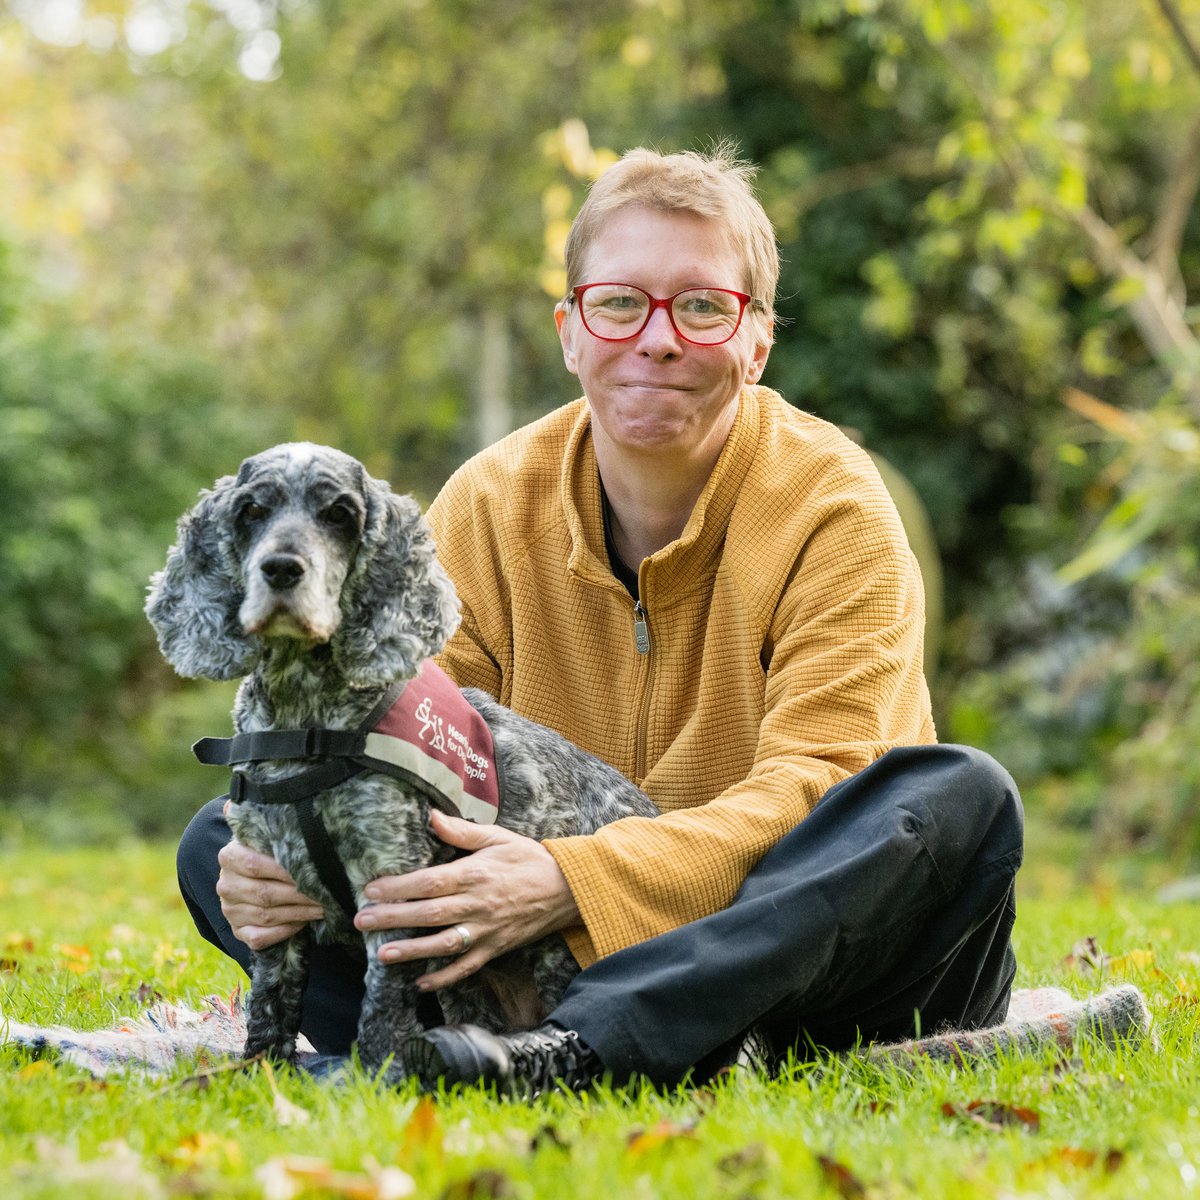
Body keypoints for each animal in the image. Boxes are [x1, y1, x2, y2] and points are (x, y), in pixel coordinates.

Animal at [147, 441, 667, 1080]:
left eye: (339, 514)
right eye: (251, 511)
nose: (282, 568)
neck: (307, 726)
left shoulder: (391, 876)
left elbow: (384, 999)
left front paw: (378, 1078)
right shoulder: (268, 882)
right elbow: (273, 998)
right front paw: (259, 1073)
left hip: (554, 950)